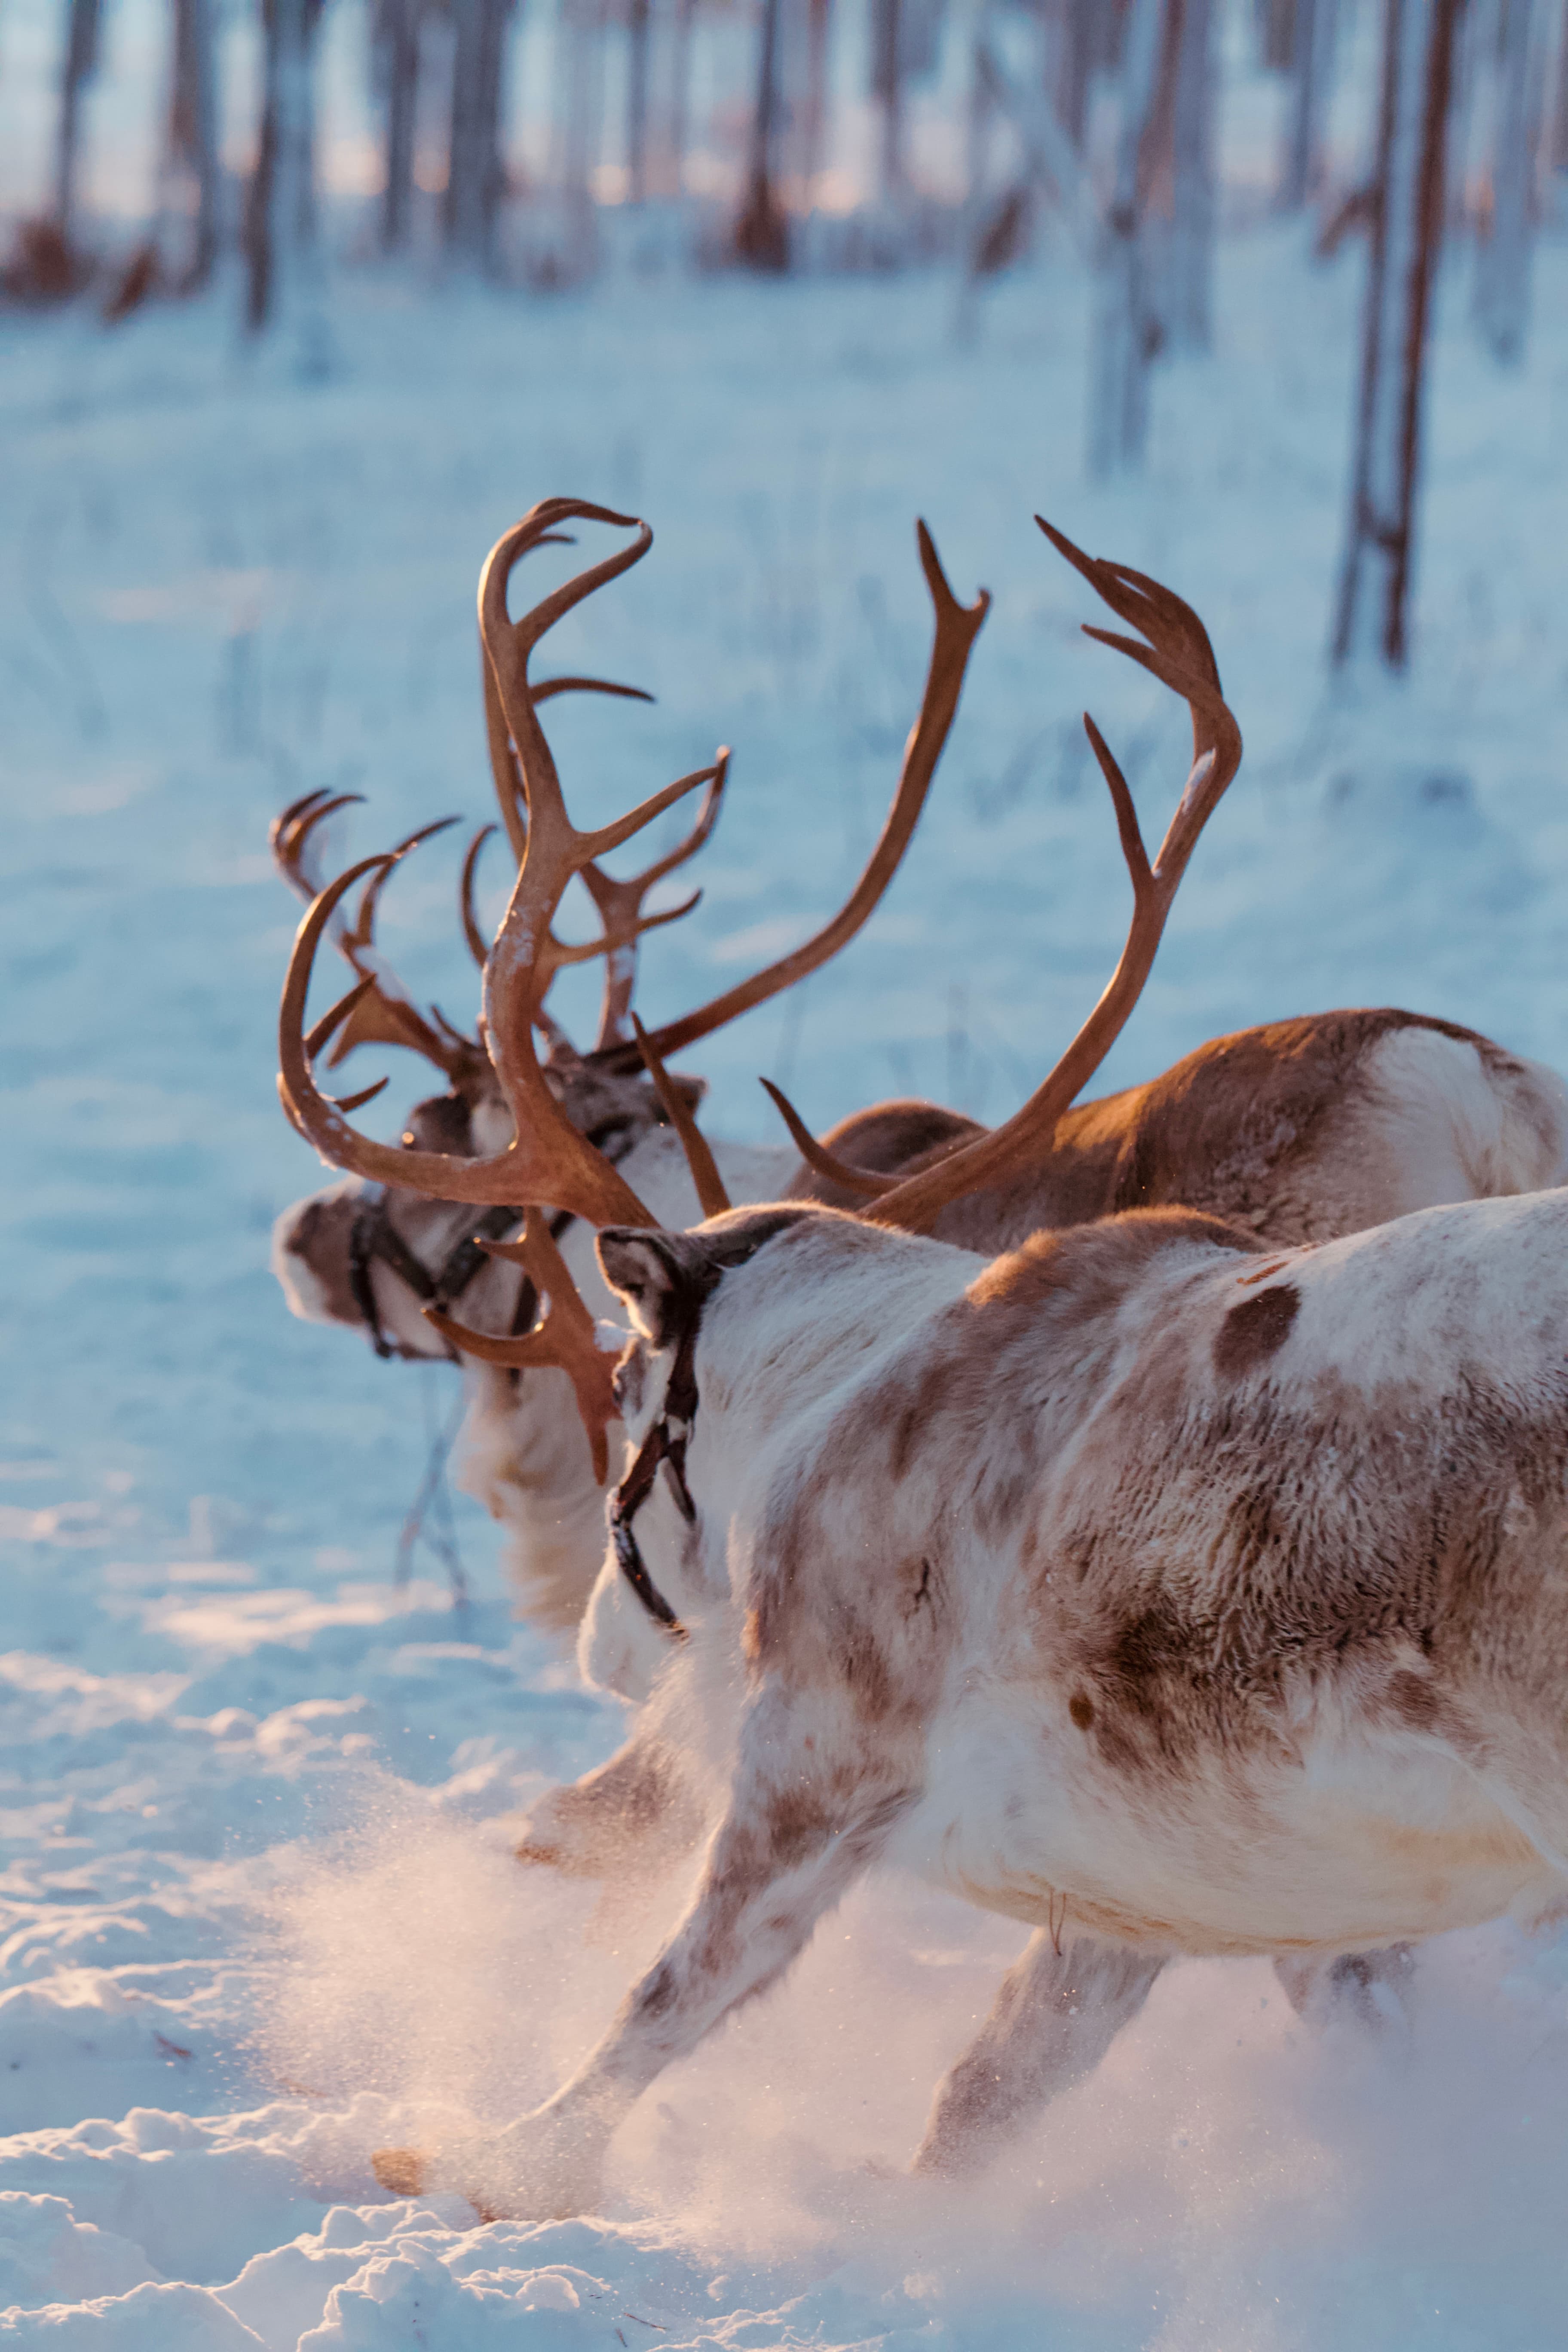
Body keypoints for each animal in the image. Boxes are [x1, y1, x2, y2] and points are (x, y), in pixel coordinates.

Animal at [279, 511, 1568, 2223]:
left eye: (440, 1131)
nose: (297, 1231)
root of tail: (1475, 1084)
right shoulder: (1147, 1885)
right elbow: (989, 2094)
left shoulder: (811, 1751)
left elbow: (650, 1991)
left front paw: (482, 2157)